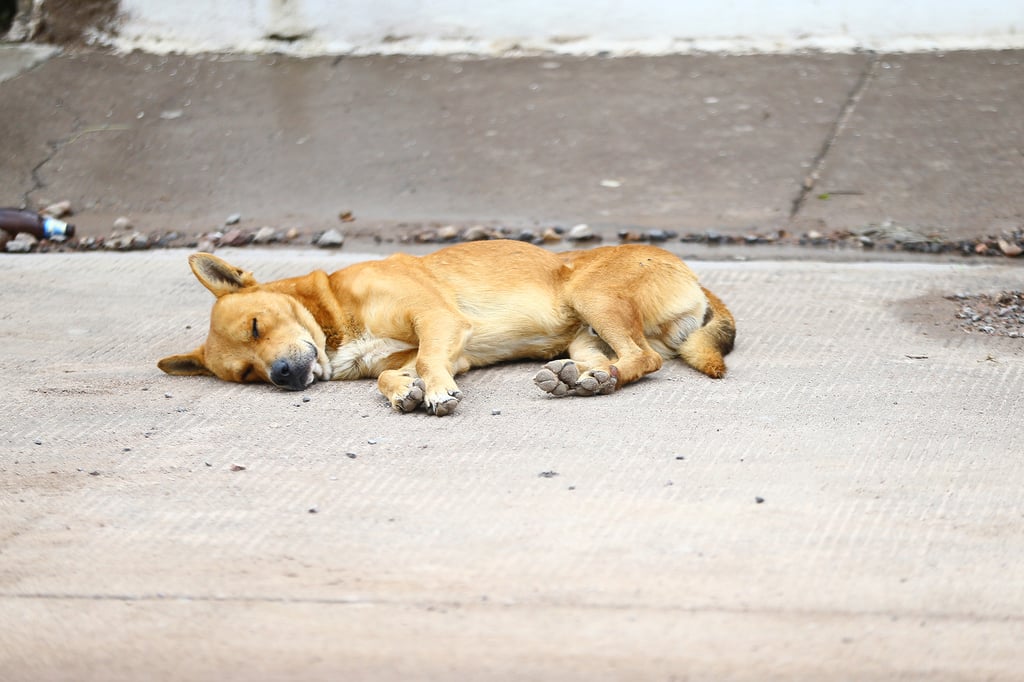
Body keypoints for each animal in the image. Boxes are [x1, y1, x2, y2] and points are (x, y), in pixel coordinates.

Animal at [157, 240, 737, 413]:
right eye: (247, 374)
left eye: (256, 326)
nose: (281, 376)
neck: (335, 313)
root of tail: (692, 276)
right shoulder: (440, 348)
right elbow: (390, 374)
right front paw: (403, 392)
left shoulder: (437, 322)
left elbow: (428, 360)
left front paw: (432, 390)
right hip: (583, 337)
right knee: (618, 361)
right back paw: (584, 380)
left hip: (590, 297)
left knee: (645, 358)